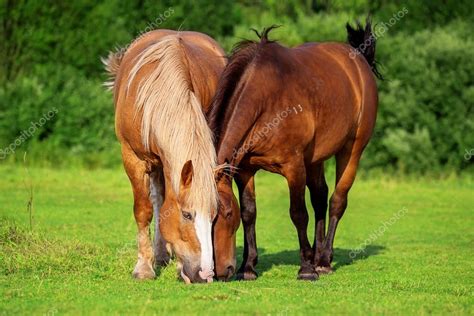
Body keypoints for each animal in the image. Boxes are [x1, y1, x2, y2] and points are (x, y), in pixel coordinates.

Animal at [103, 30, 232, 284]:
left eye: (214, 216)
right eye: (187, 215)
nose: (204, 275)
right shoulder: (133, 158)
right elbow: (144, 211)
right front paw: (144, 268)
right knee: (157, 199)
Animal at [211, 21, 382, 280]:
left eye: (227, 214)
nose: (221, 271)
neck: (266, 99)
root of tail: (359, 59)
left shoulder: (294, 167)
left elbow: (298, 213)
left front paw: (306, 269)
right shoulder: (245, 169)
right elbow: (250, 212)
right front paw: (248, 267)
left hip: (351, 150)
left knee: (336, 201)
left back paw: (323, 261)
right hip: (315, 159)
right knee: (320, 197)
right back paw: (318, 255)